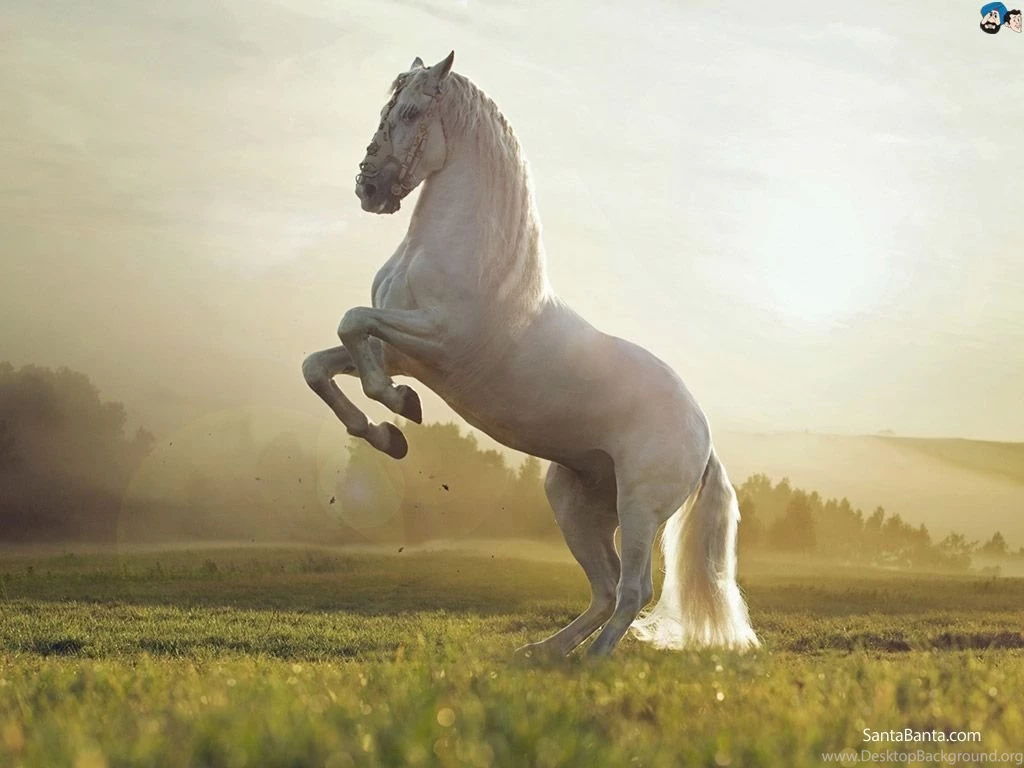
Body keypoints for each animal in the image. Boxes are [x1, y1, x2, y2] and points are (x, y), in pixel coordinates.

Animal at [302, 51, 758, 656]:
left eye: (412, 112)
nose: (369, 188)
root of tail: (702, 436)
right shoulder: (402, 351)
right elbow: (322, 363)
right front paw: (385, 433)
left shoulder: (437, 341)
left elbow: (353, 324)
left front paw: (399, 409)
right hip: (574, 501)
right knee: (606, 588)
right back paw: (541, 654)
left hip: (639, 508)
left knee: (633, 589)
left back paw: (590, 663)